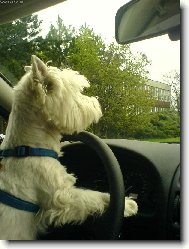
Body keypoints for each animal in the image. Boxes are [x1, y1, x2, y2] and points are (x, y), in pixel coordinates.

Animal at [0, 55, 137, 240]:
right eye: (76, 92)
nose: (96, 103)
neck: (27, 147)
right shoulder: (60, 196)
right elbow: (90, 197)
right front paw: (128, 204)